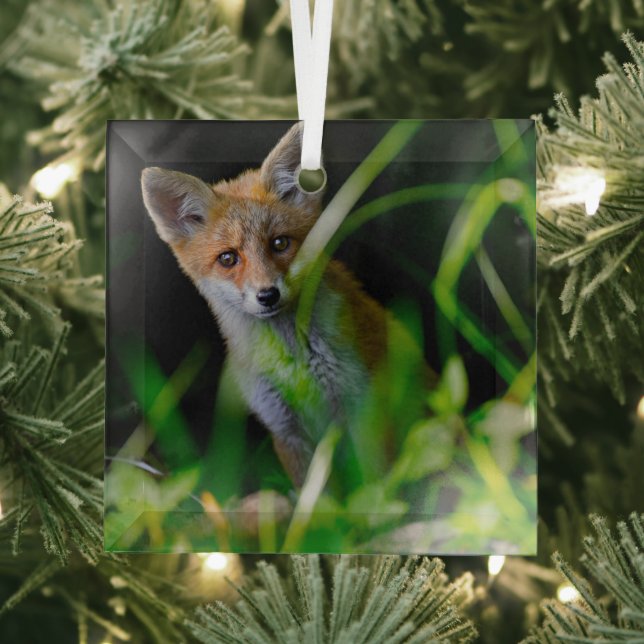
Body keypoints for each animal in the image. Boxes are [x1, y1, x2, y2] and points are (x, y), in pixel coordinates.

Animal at [141, 123, 430, 488]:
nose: (267, 295)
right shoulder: (284, 428)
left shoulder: (362, 407)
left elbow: (373, 483)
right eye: (228, 258)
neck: (293, 362)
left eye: (279, 243)